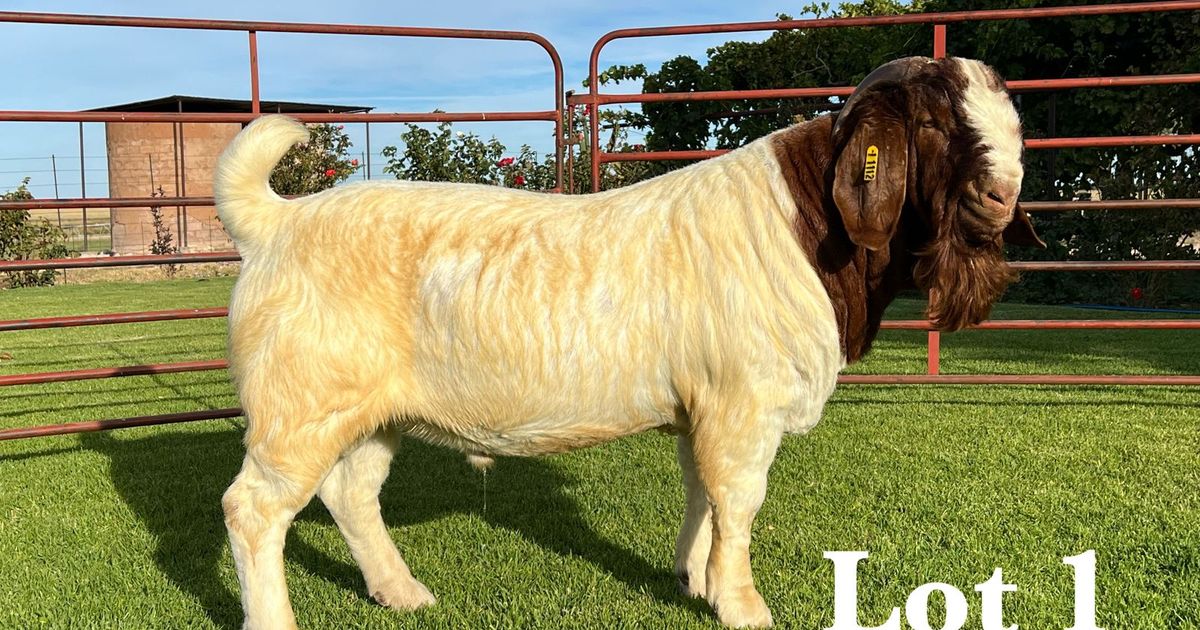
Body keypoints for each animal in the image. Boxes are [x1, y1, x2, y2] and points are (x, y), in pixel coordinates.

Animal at [215, 56, 1043, 629]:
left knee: (350, 494)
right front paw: (744, 606)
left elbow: (703, 492)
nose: (1000, 197)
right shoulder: (743, 404)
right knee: (253, 509)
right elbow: (739, 499)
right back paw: (279, 618)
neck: (807, 229)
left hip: (362, 411)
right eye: (933, 124)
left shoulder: (705, 405)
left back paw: (402, 591)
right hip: (299, 405)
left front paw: (695, 580)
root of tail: (277, 222)